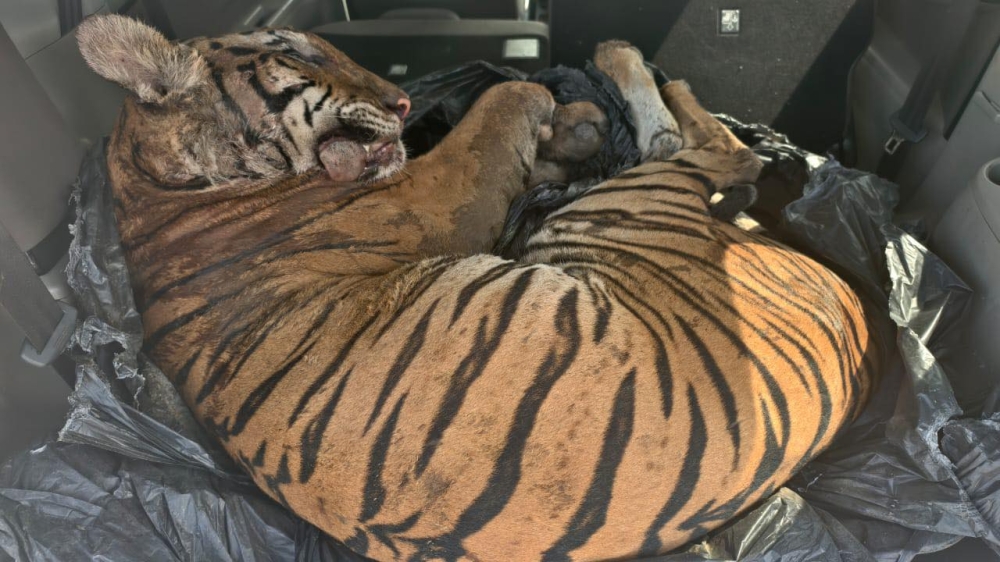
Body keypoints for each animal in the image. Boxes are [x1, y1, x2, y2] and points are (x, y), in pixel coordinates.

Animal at [76, 14, 879, 561]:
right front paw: (571, 112)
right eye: (295, 52)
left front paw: (571, 128)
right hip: (634, 199)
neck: (158, 185)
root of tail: (858, 319)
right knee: (710, 148)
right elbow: (514, 94)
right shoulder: (434, 190)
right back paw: (623, 62)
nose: (403, 102)